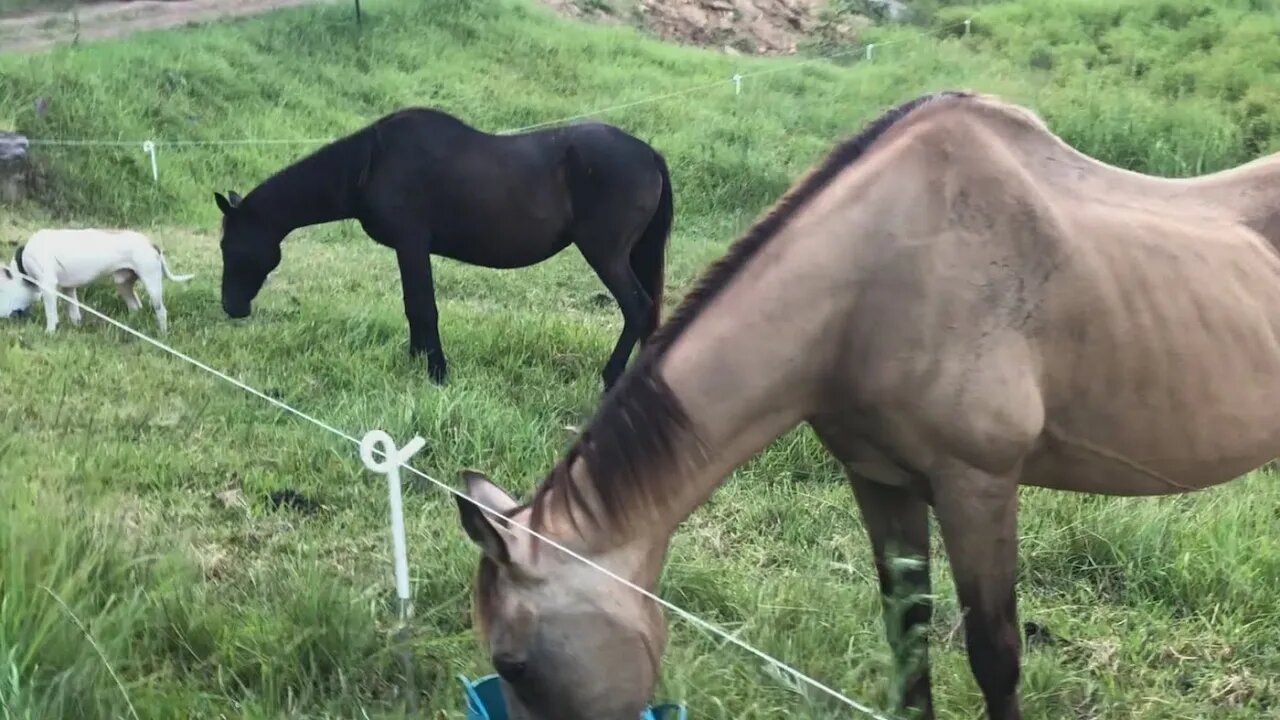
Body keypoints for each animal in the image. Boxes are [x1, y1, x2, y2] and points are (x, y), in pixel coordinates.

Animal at [0, 226, 194, 333]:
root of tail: (151, 243)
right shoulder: (69, 289)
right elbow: (74, 311)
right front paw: (76, 326)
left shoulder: (48, 287)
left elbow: (51, 313)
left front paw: (50, 332)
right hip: (123, 284)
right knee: (135, 306)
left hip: (152, 284)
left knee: (161, 311)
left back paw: (162, 333)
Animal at [217, 105, 680, 392]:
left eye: (229, 246)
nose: (230, 307)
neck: (372, 162)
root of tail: (650, 154)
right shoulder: (407, 249)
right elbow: (413, 306)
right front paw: (416, 360)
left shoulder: (412, 243)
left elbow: (424, 307)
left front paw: (436, 372)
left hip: (606, 254)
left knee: (637, 307)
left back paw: (610, 378)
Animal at [448, 90, 1280, 717]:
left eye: (514, 662)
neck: (878, 274)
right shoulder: (879, 479)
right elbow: (906, 636)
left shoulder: (978, 485)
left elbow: (995, 655)